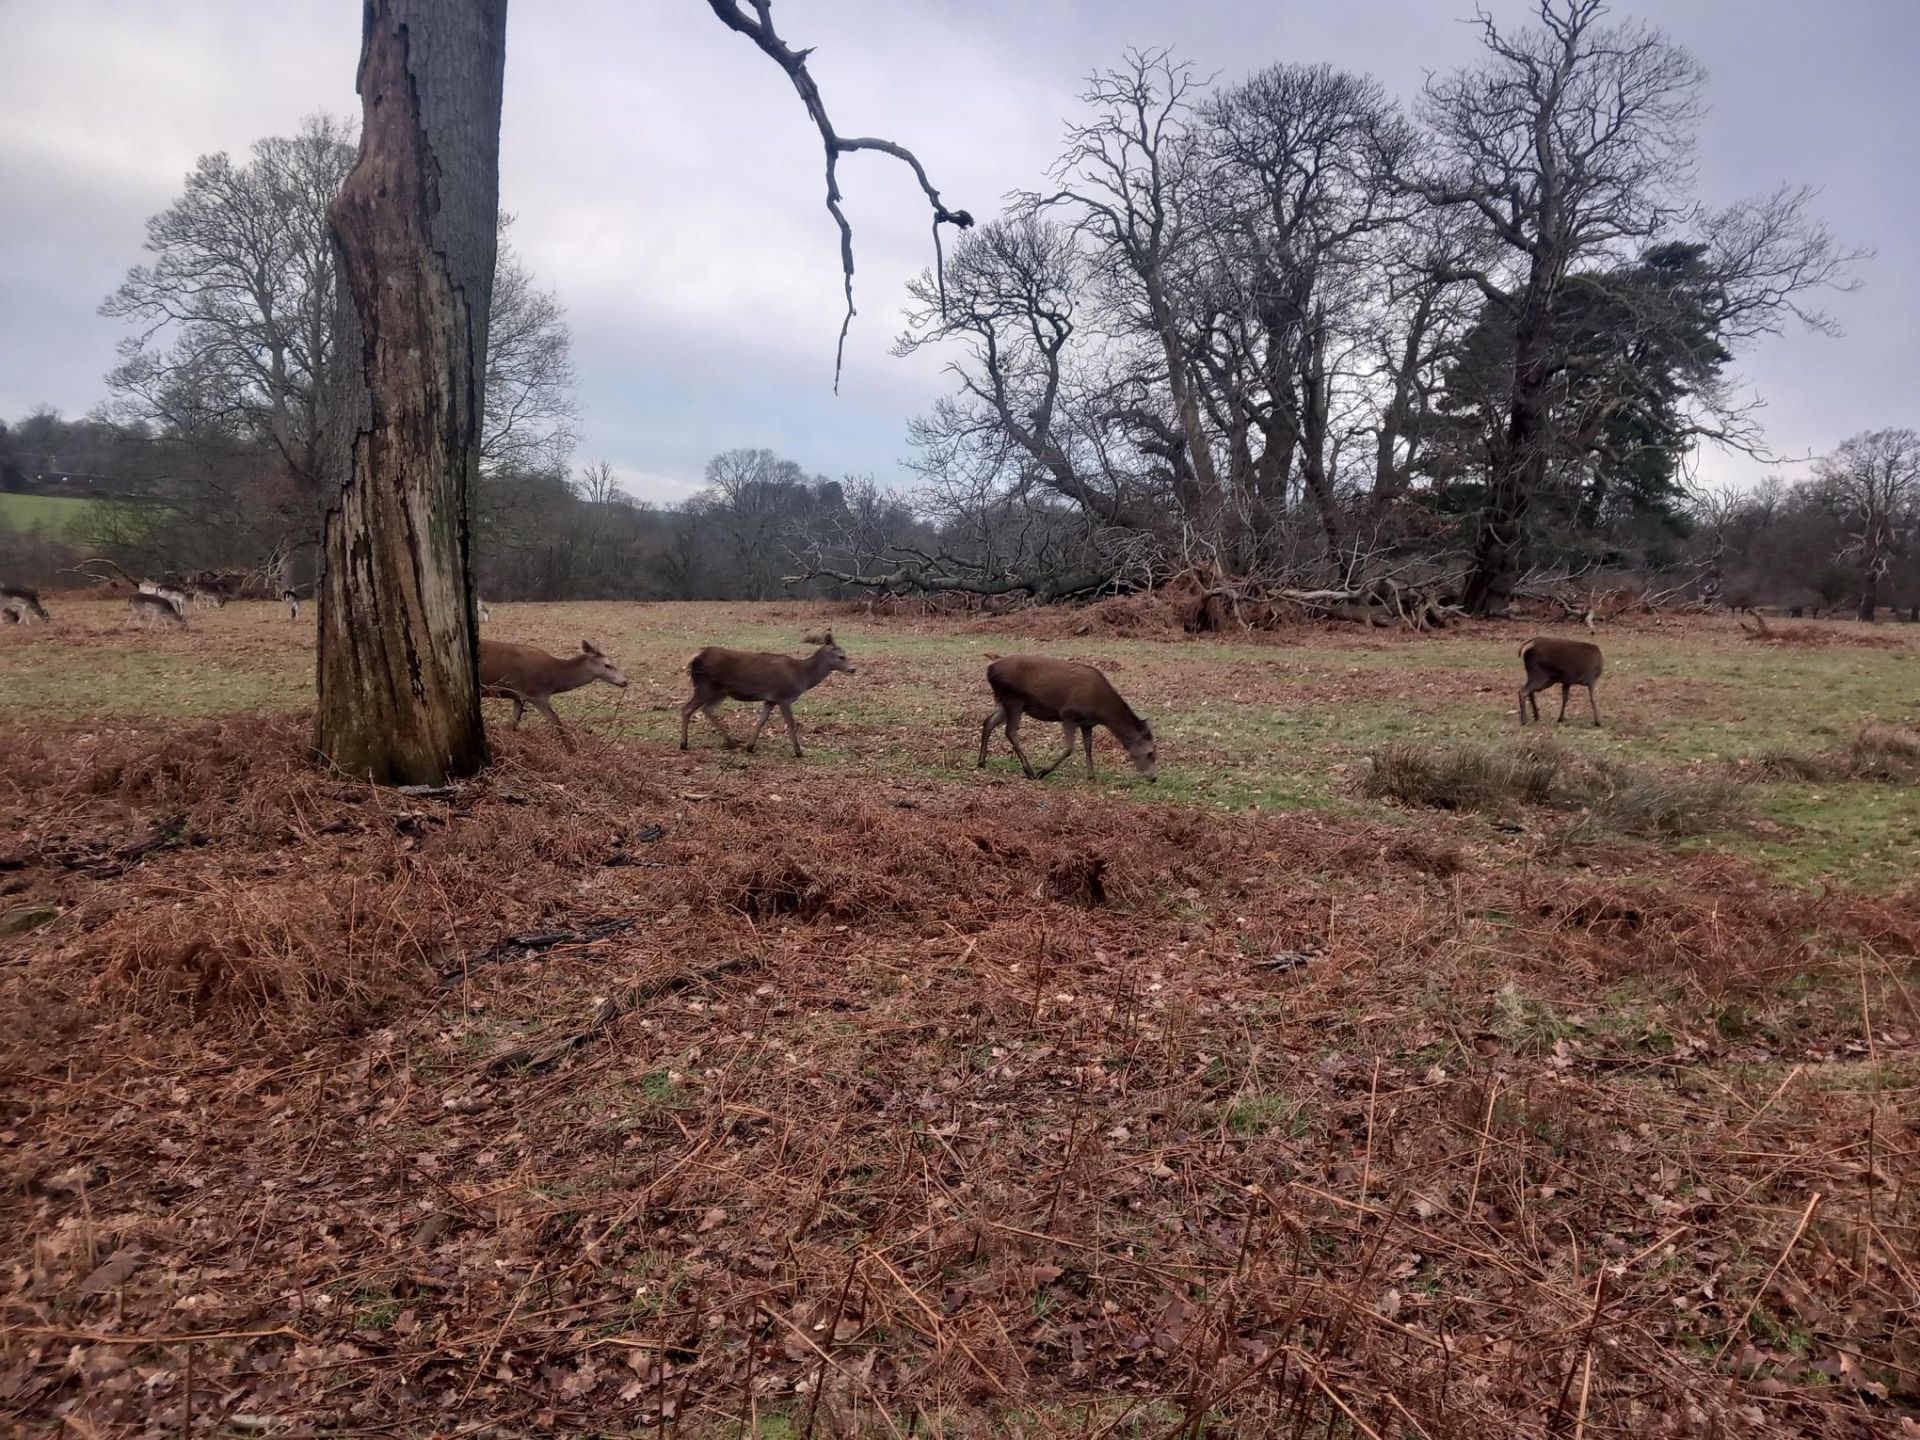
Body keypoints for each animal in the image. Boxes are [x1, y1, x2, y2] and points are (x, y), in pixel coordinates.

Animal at [479, 638, 628, 748]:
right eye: (607, 665)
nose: (625, 681)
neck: (554, 682)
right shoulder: (537, 695)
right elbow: (557, 722)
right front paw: (570, 751)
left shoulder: (520, 696)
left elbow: (513, 725)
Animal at [679, 633, 854, 757]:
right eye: (841, 656)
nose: (853, 669)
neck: (802, 676)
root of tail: (695, 658)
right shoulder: (784, 696)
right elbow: (790, 723)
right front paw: (798, 751)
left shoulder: (770, 700)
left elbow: (762, 720)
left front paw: (750, 747)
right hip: (705, 686)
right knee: (687, 708)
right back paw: (684, 744)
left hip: (720, 691)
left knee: (706, 709)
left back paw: (731, 742)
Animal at [977, 655, 1158, 782]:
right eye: (1150, 753)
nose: (1154, 778)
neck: (1101, 712)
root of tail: (989, 669)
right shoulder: (1069, 714)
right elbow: (1070, 748)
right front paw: (1044, 771)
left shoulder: (1087, 723)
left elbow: (1088, 746)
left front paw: (1091, 776)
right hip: (1014, 699)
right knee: (1011, 731)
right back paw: (1031, 771)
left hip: (1006, 701)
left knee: (988, 721)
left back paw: (981, 762)